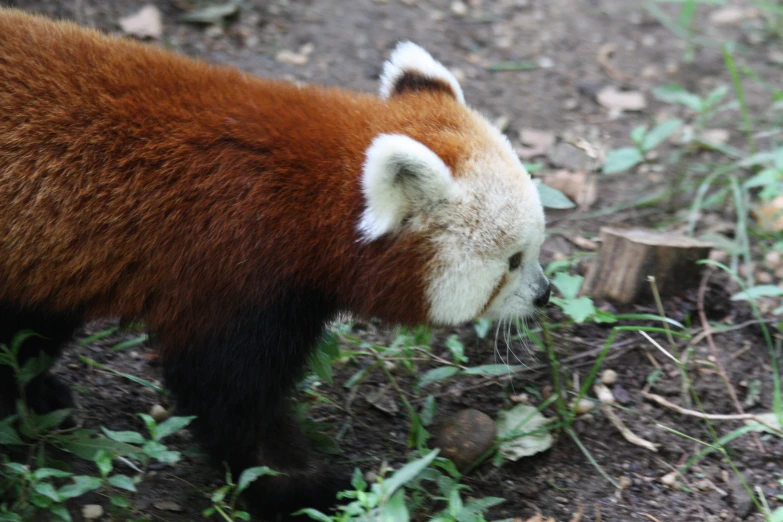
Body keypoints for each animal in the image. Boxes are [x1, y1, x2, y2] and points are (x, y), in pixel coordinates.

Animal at [0, 9, 552, 520]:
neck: (308, 197)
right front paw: (302, 486)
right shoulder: (231, 272)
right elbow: (227, 392)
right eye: (513, 261)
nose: (545, 295)